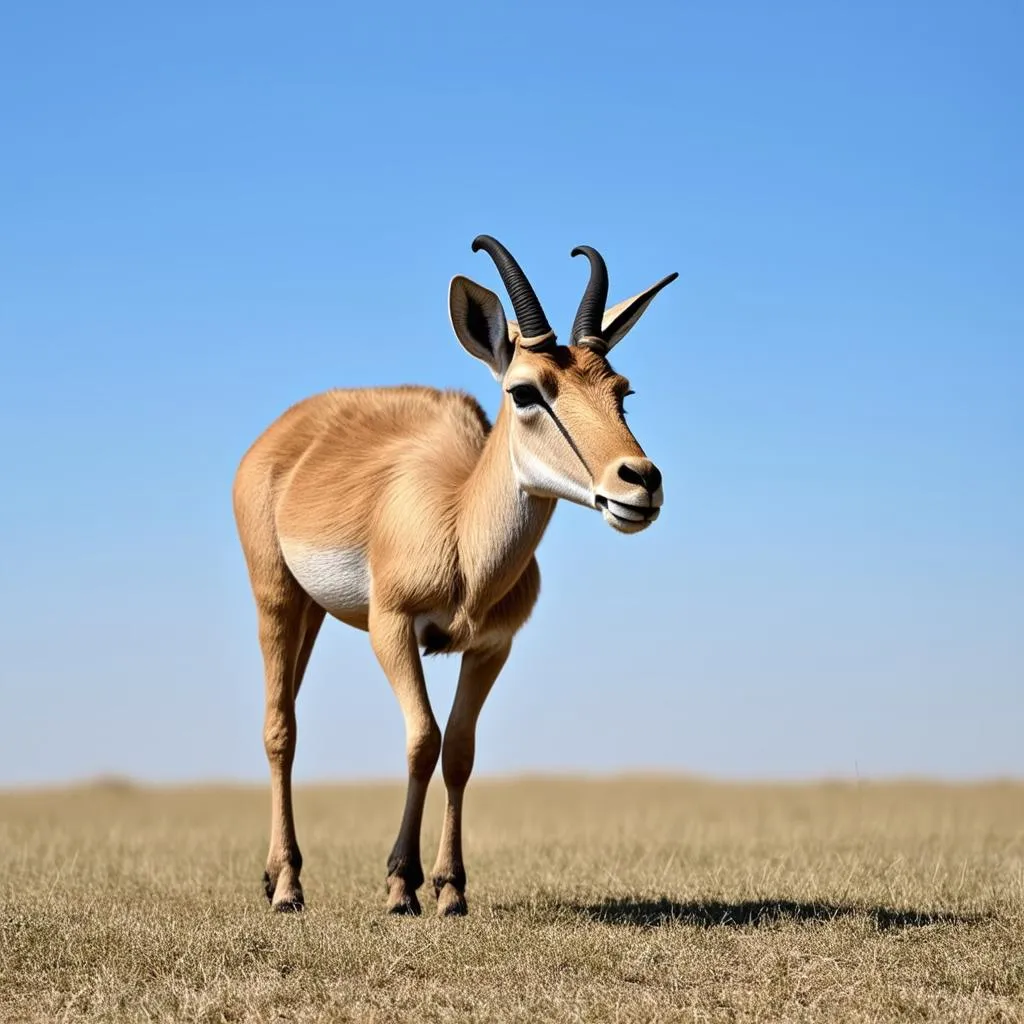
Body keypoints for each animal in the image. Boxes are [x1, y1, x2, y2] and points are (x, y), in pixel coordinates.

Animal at [234, 235, 675, 917]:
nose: (640, 481)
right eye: (525, 391)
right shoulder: (391, 629)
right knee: (280, 728)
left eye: (621, 391)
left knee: (291, 713)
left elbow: (460, 751)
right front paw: (400, 886)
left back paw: (274, 874)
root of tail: (284, 433)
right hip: (275, 598)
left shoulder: (491, 646)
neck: (462, 532)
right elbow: (422, 739)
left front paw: (450, 889)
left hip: (311, 612)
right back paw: (287, 888)